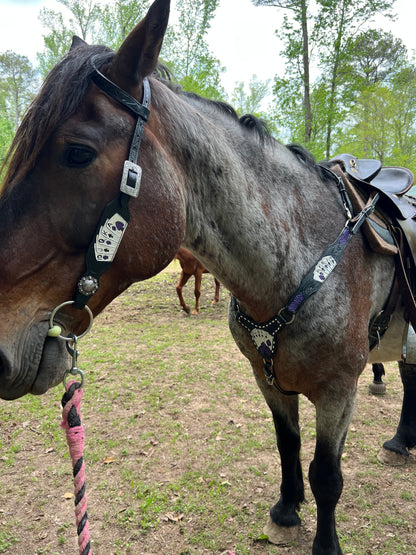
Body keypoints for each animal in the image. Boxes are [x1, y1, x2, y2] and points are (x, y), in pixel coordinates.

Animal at [0, 2, 414, 552]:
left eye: (78, 153)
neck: (298, 260)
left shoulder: (338, 391)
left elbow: (327, 475)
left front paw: (324, 542)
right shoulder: (268, 378)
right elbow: (287, 445)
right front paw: (286, 512)